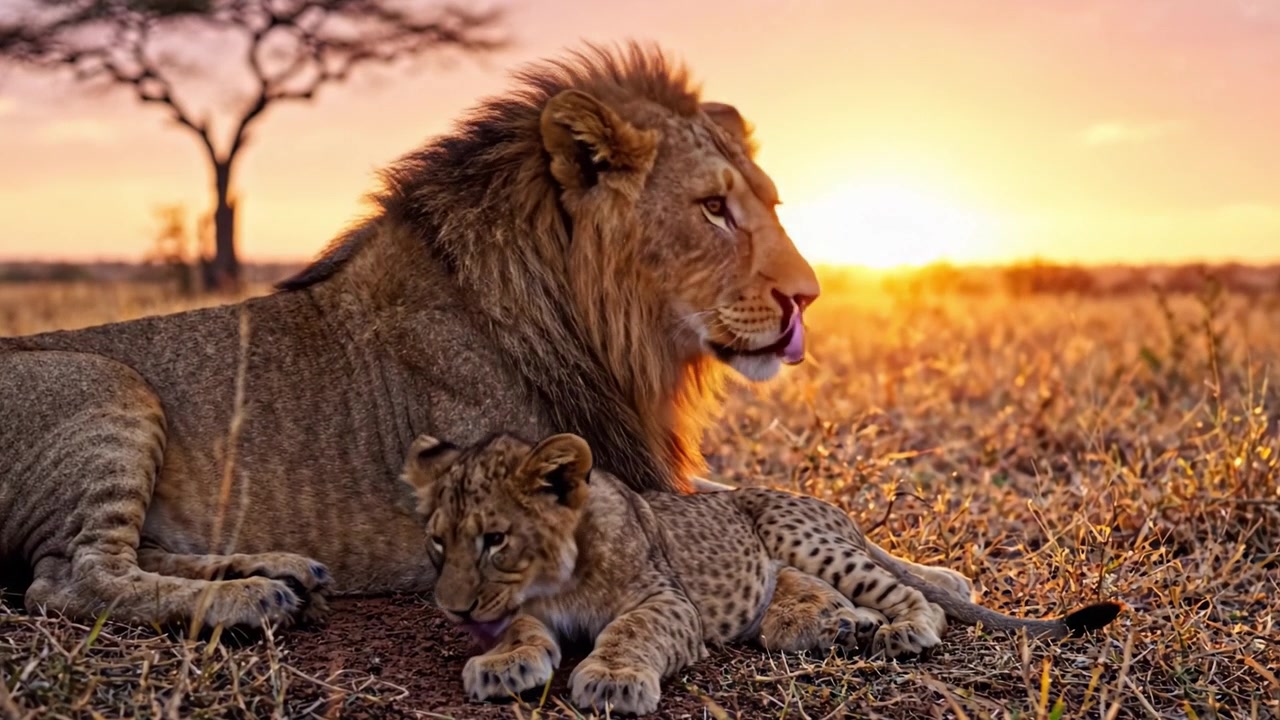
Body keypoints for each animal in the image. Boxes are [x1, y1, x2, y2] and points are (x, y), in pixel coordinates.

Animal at [0, 41, 854, 629]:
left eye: (769, 202)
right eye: (712, 208)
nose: (808, 297)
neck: (616, 343)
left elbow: (774, 501)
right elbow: (729, 533)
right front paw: (834, 608)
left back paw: (286, 571)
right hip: (110, 386)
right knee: (71, 577)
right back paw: (252, 601)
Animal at [401, 431, 1124, 717]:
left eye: (495, 540)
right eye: (438, 542)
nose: (452, 609)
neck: (558, 577)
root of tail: (833, 508)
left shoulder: (670, 603)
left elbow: (630, 633)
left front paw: (612, 681)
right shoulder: (520, 608)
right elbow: (518, 630)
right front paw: (503, 665)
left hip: (798, 534)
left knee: (920, 599)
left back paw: (897, 633)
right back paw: (844, 627)